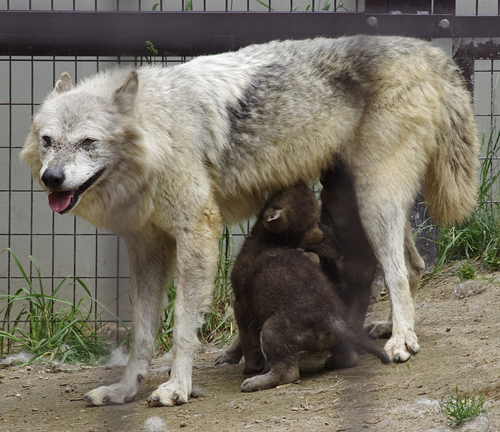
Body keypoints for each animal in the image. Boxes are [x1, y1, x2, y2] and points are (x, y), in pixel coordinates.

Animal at [20, 35, 480, 406]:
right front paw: (124, 390)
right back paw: (388, 329)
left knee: (398, 273)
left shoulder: (197, 235)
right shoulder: (147, 249)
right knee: (415, 266)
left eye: (88, 142)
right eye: (48, 141)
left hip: (374, 203)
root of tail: (424, 49)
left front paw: (177, 388)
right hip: (375, 204)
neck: (161, 129)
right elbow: (144, 334)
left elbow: (183, 328)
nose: (51, 179)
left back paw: (402, 339)